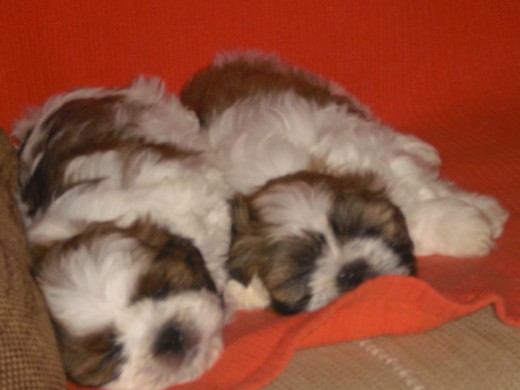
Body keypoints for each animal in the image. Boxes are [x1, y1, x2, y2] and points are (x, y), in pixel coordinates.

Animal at [181, 51, 510, 314]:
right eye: (303, 268)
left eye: (361, 229)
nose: (351, 271)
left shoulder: (360, 149)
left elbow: (414, 189)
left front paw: (472, 222)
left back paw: (418, 147)